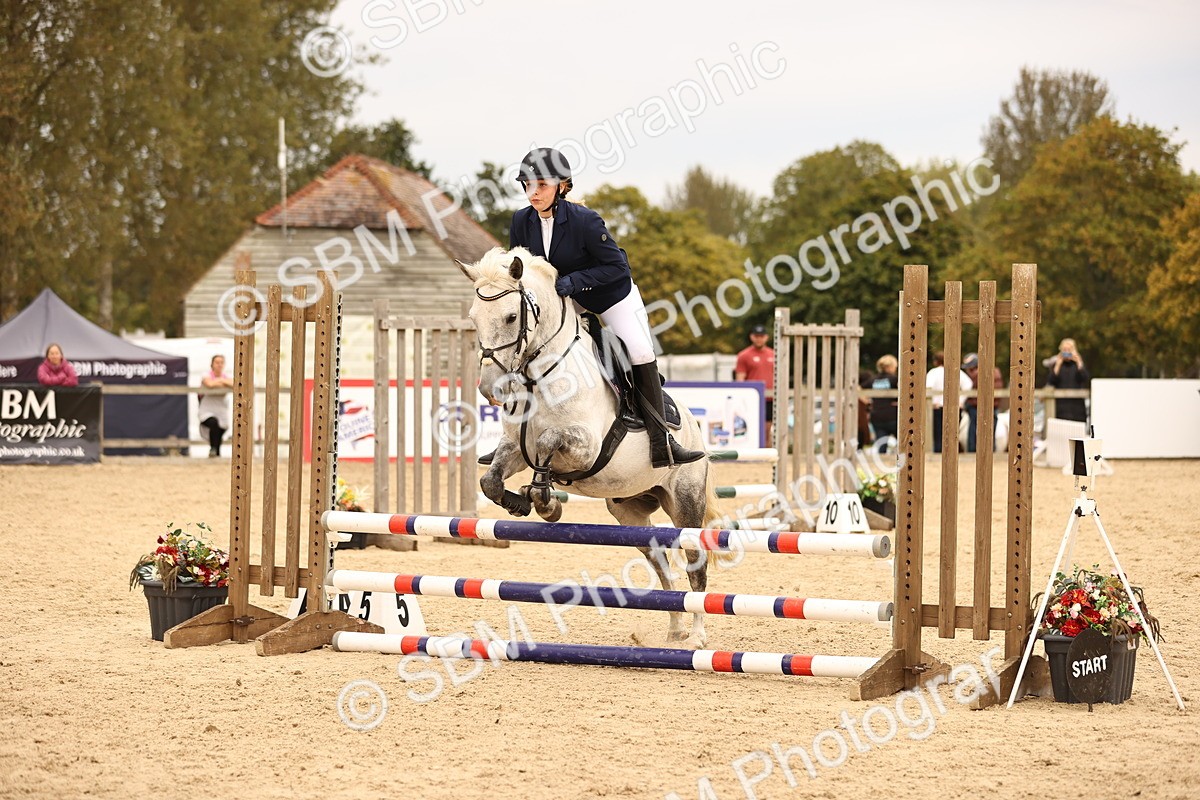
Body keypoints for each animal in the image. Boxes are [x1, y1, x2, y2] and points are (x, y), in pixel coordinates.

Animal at [456, 246, 721, 648]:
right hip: (630, 512)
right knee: (662, 565)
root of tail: (693, 427)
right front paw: (524, 502)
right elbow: (491, 480)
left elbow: (550, 441)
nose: (491, 389)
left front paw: (545, 501)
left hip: (686, 501)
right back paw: (675, 628)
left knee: (696, 564)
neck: (539, 378)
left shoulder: (587, 447)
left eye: (511, 316)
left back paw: (697, 637)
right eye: (473, 317)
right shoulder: (516, 448)